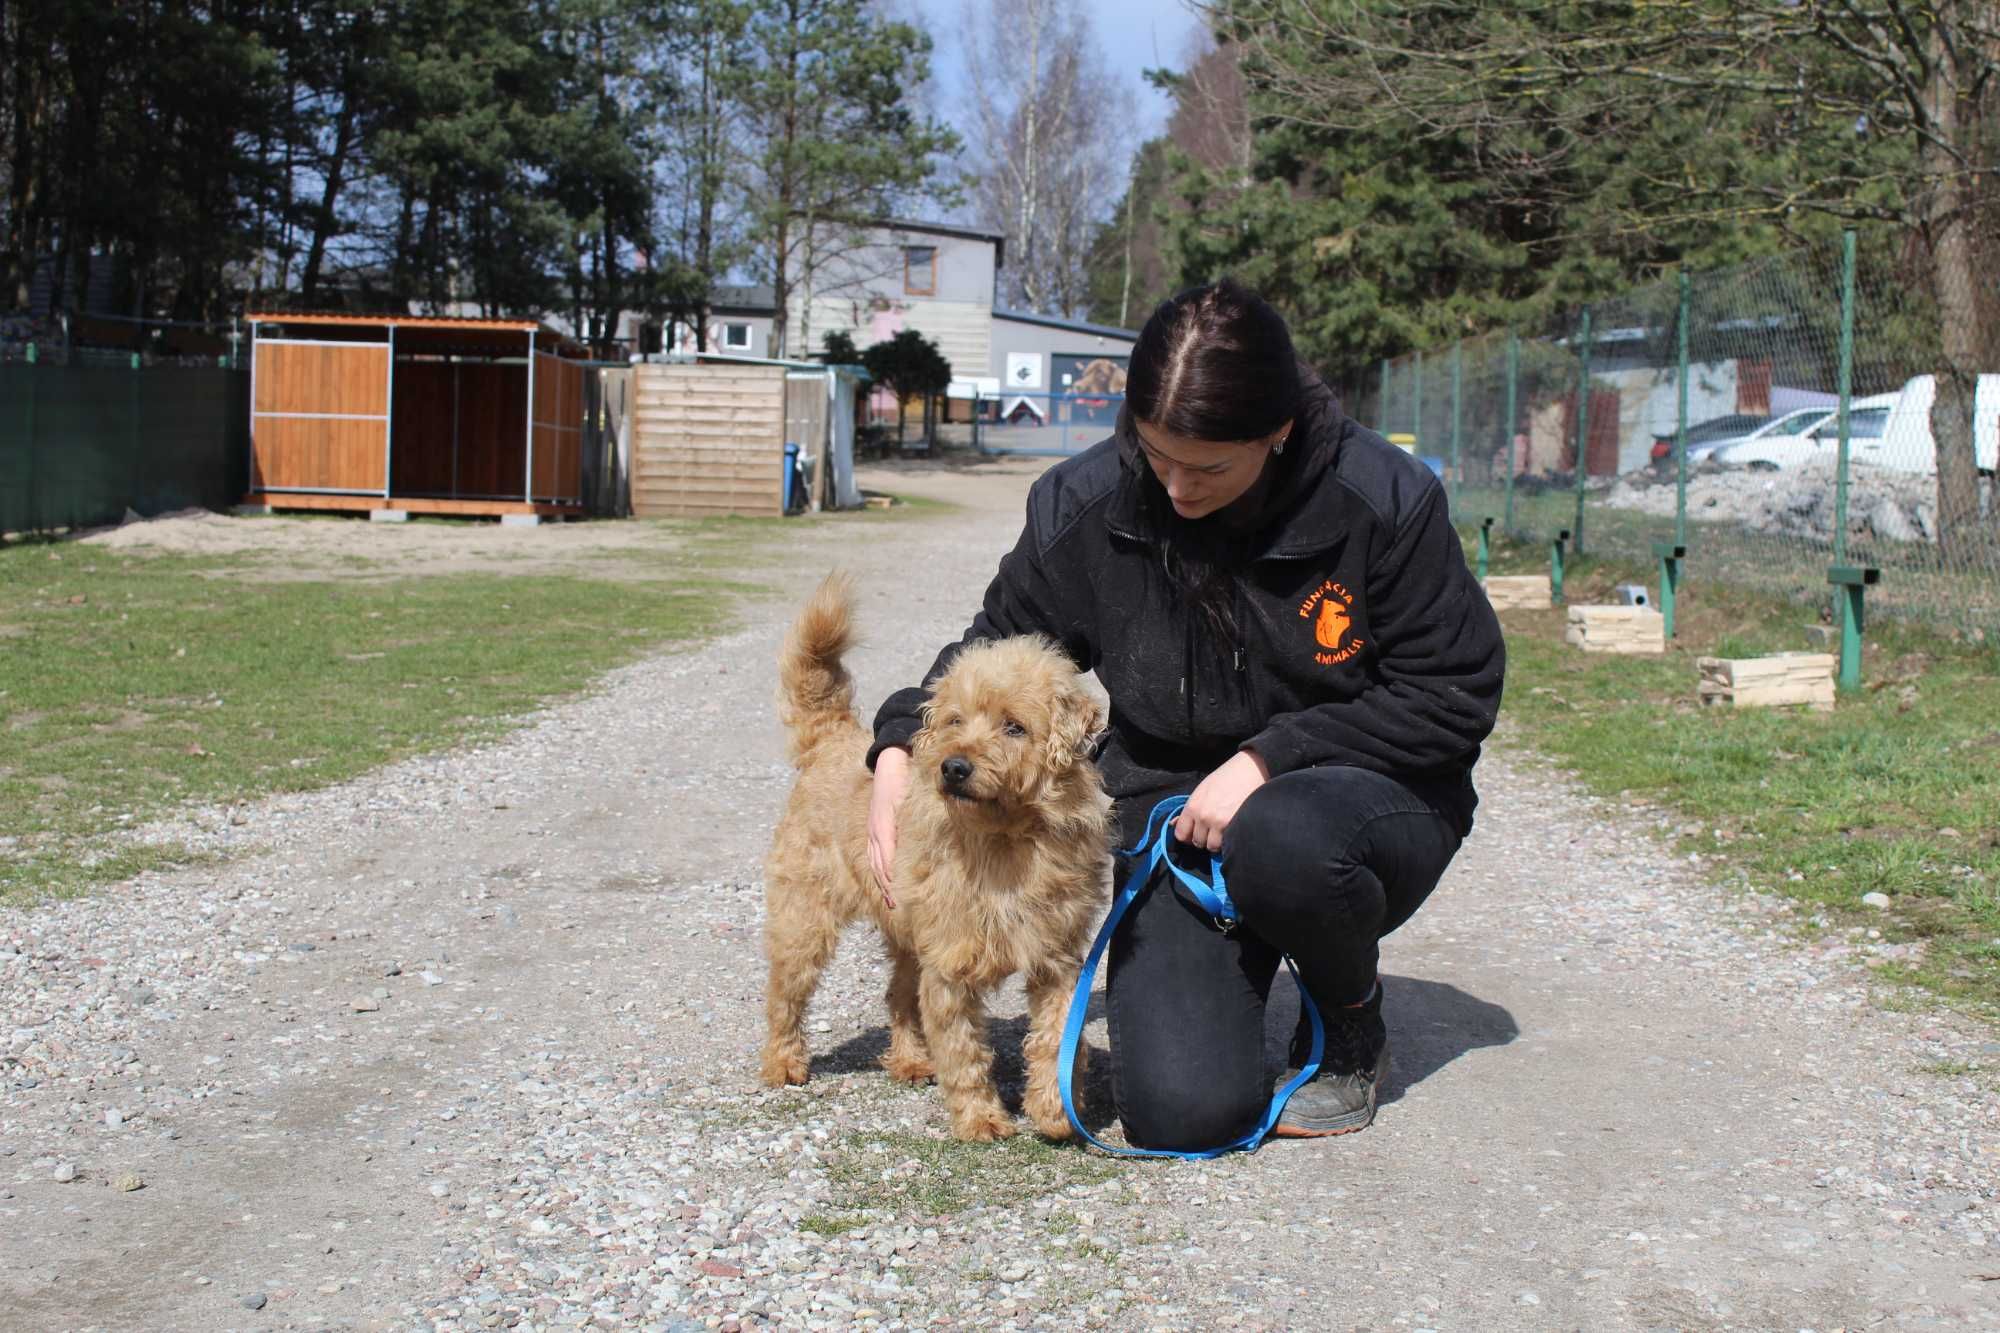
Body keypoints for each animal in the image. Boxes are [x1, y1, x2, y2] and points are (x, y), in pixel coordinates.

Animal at [760, 572, 1112, 1144]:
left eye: (1014, 726)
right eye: (954, 720)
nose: (954, 767)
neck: (1003, 842)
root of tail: (831, 739)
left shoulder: (1057, 960)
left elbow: (1058, 1034)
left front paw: (1056, 1108)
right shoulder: (950, 966)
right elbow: (965, 1052)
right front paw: (981, 1118)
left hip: (906, 934)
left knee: (898, 997)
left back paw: (909, 1061)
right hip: (804, 923)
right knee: (784, 996)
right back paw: (782, 1064)